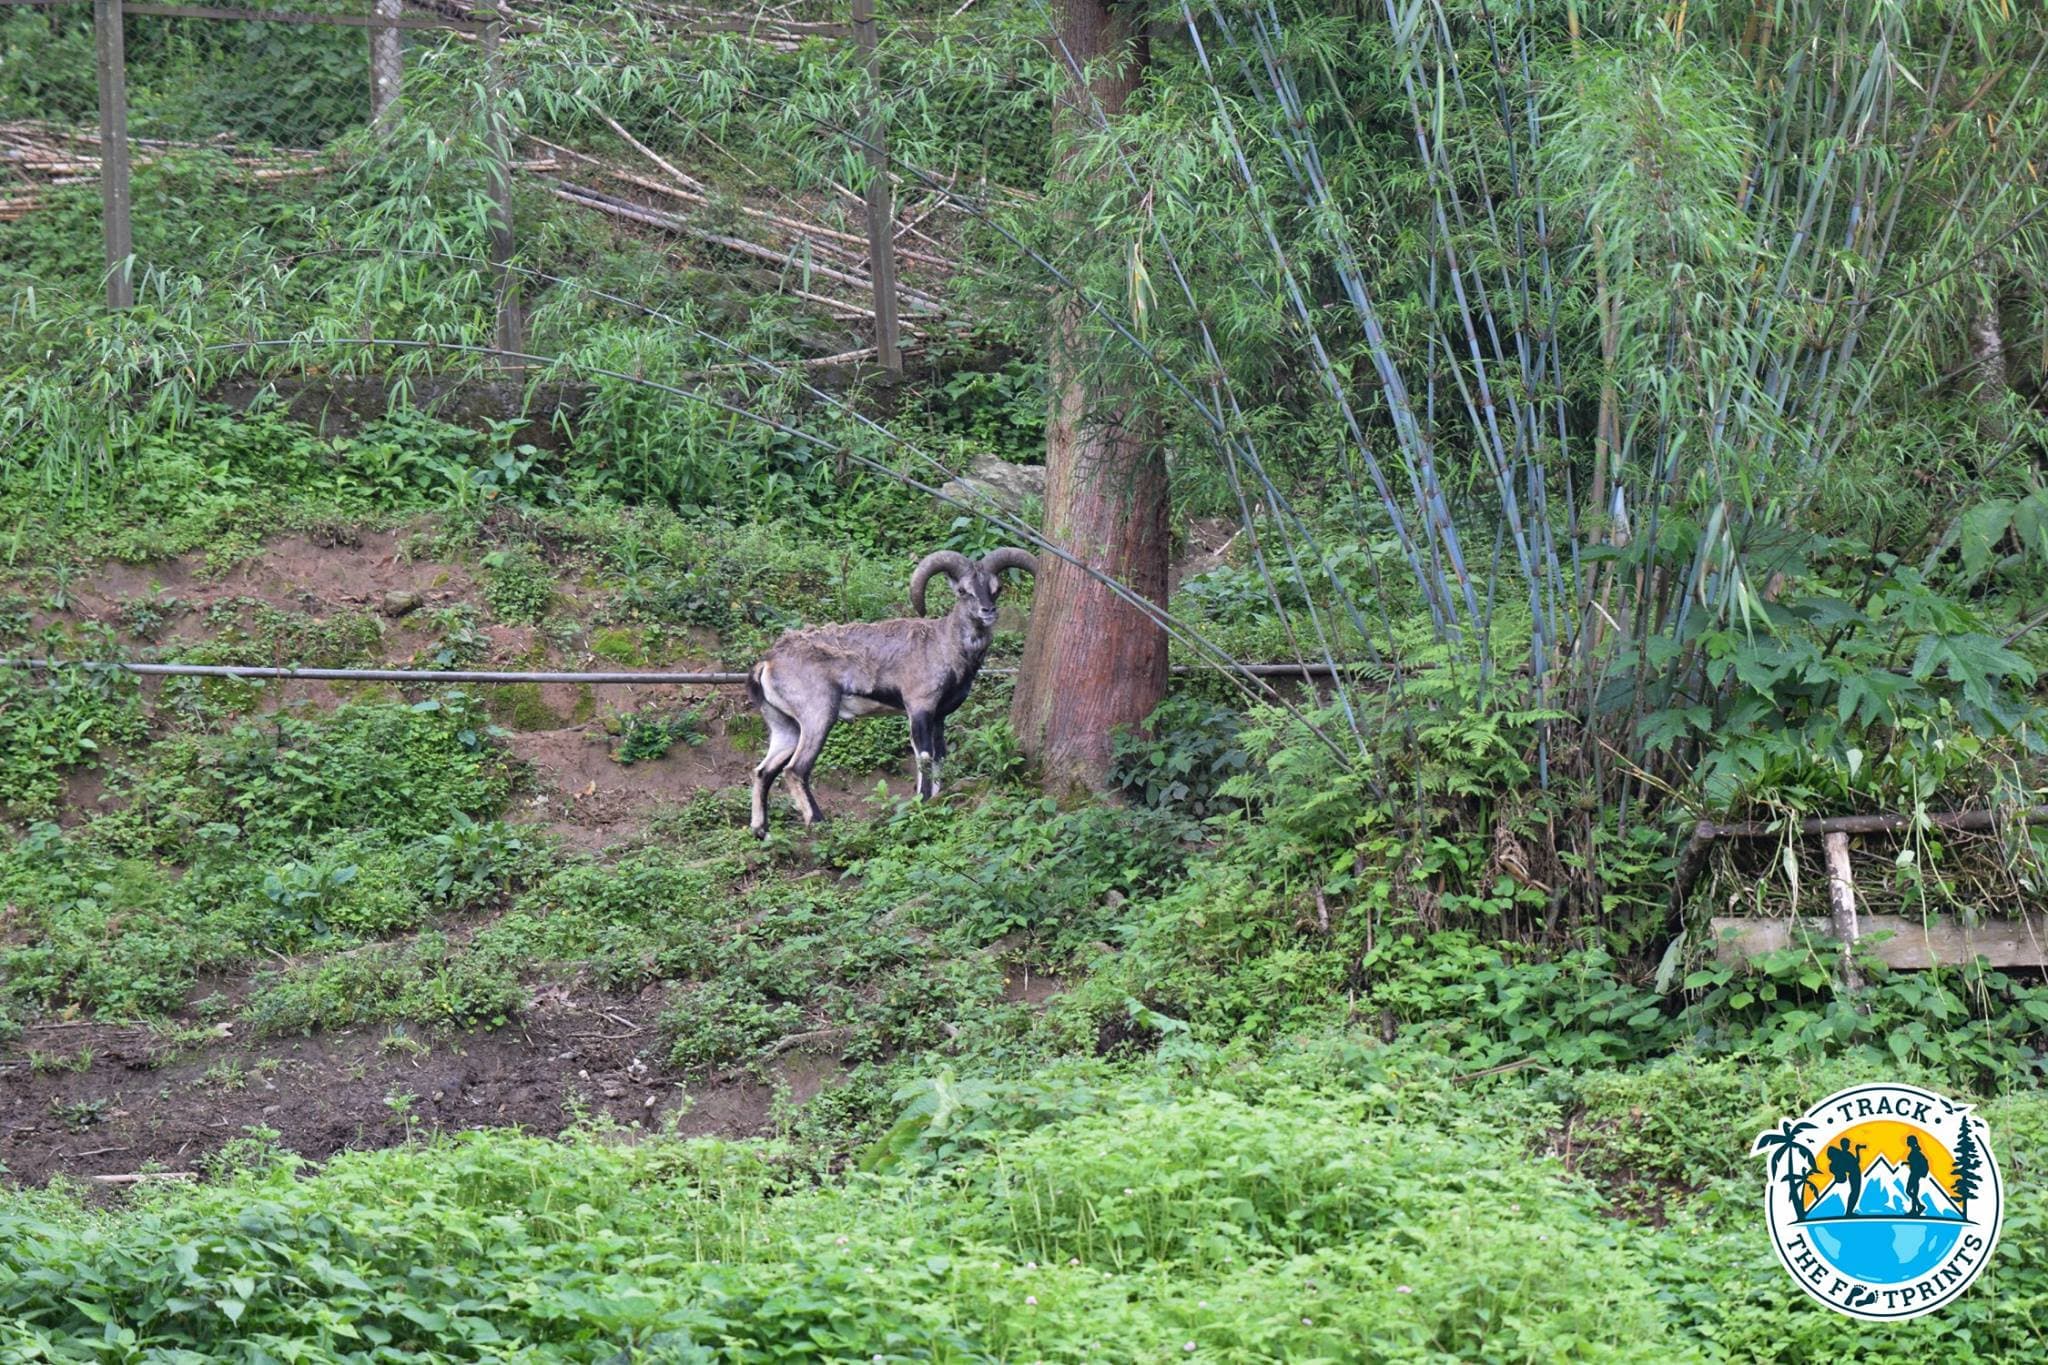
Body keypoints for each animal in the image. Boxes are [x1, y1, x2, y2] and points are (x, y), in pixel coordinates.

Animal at [746, 547, 1036, 836]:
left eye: (996, 588)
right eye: (963, 590)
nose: (988, 610)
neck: (945, 646)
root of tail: (768, 663)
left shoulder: (939, 717)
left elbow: (940, 756)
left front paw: (937, 798)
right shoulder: (919, 708)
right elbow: (924, 757)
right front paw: (923, 802)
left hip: (785, 726)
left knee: (763, 771)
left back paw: (761, 830)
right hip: (817, 717)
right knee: (795, 769)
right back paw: (817, 821)